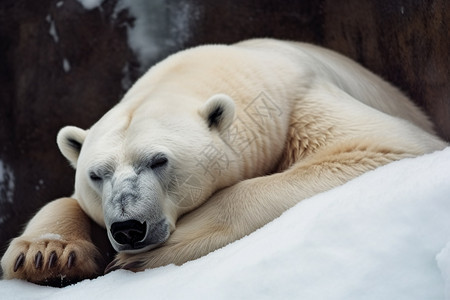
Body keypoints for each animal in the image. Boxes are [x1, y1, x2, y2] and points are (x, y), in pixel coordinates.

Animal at [2, 38, 446, 284]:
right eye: (97, 174)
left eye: (159, 160)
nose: (128, 228)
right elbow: (64, 203)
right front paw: (46, 254)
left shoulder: (300, 103)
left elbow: (379, 145)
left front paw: (154, 253)